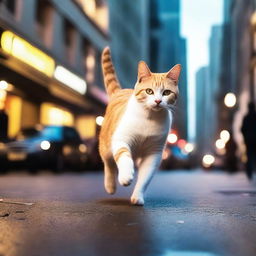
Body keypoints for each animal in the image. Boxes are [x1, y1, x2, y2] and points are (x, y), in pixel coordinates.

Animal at [99, 46, 181, 206]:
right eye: (149, 91)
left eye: (166, 92)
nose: (157, 101)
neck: (150, 118)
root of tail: (120, 91)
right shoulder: (121, 139)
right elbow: (124, 156)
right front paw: (126, 176)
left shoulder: (153, 154)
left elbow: (145, 178)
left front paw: (138, 196)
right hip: (106, 145)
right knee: (109, 163)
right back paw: (110, 186)